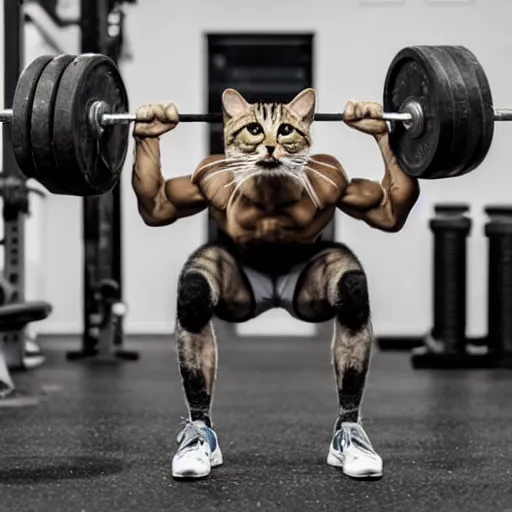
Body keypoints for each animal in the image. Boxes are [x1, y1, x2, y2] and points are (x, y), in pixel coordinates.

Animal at [132, 88, 420, 480]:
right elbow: (157, 206)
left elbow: (389, 212)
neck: (269, 192)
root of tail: (273, 294)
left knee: (352, 292)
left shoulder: (337, 180)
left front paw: (373, 119)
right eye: (254, 129)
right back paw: (198, 437)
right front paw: (152, 121)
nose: (270, 148)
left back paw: (351, 438)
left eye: (285, 130)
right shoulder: (203, 178)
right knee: (194, 295)